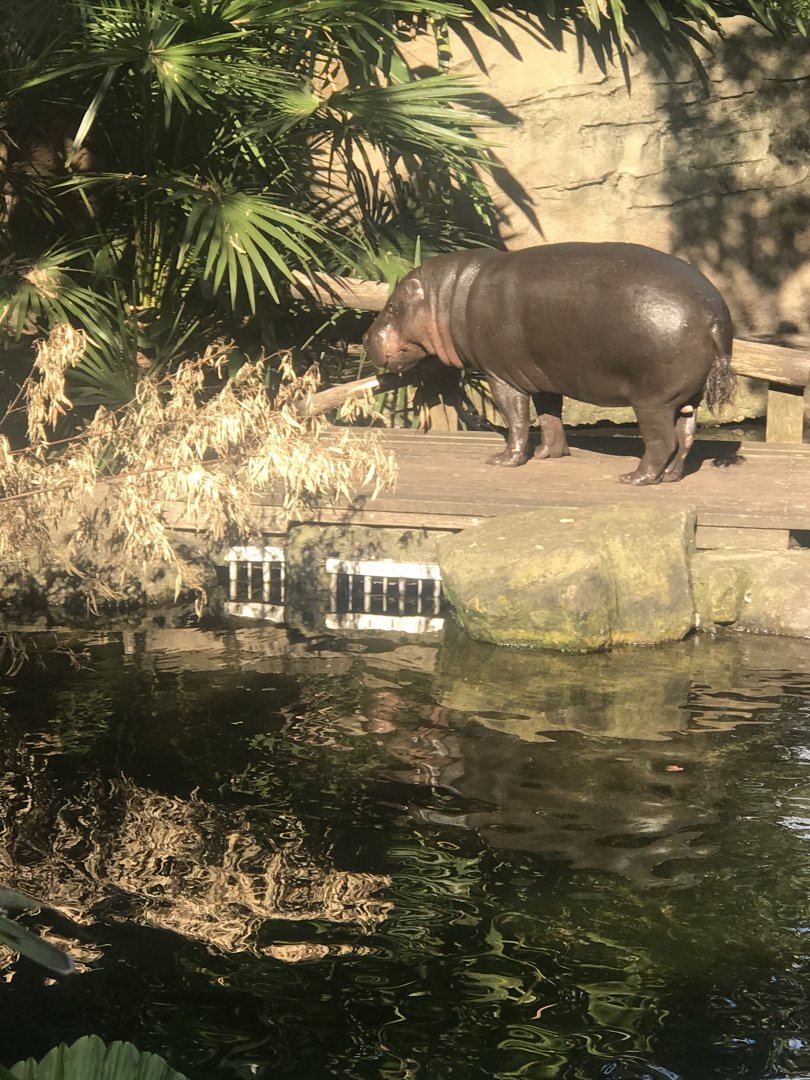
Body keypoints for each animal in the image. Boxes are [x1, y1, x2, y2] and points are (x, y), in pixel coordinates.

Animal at [362, 243, 736, 484]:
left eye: (393, 306)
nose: (365, 339)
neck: (449, 295)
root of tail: (711, 314)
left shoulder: (502, 376)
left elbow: (516, 418)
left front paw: (503, 460)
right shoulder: (541, 375)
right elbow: (549, 416)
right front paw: (548, 454)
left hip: (652, 402)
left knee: (663, 441)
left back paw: (635, 478)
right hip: (685, 398)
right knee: (686, 436)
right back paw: (670, 477)